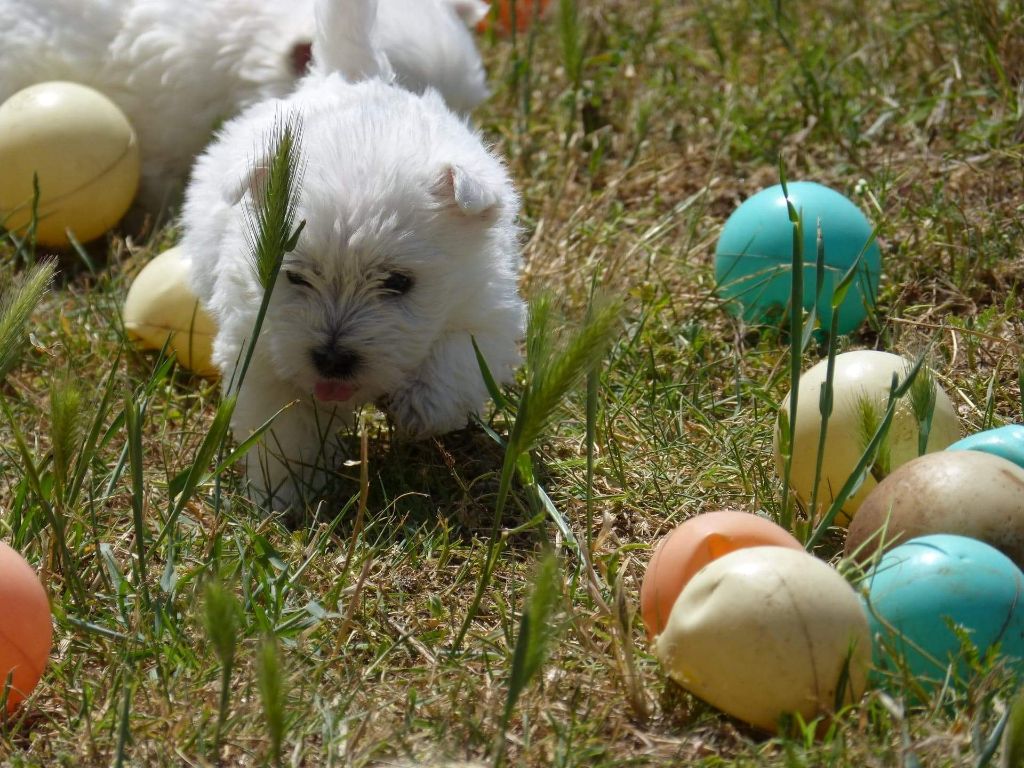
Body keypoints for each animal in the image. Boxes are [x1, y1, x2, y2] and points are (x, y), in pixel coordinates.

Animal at [179, 0, 524, 514]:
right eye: (296, 279)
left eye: (399, 282)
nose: (331, 358)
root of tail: (352, 73)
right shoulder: (260, 347)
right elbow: (285, 426)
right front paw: (287, 497)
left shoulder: (487, 309)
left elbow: (458, 357)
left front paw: (421, 407)